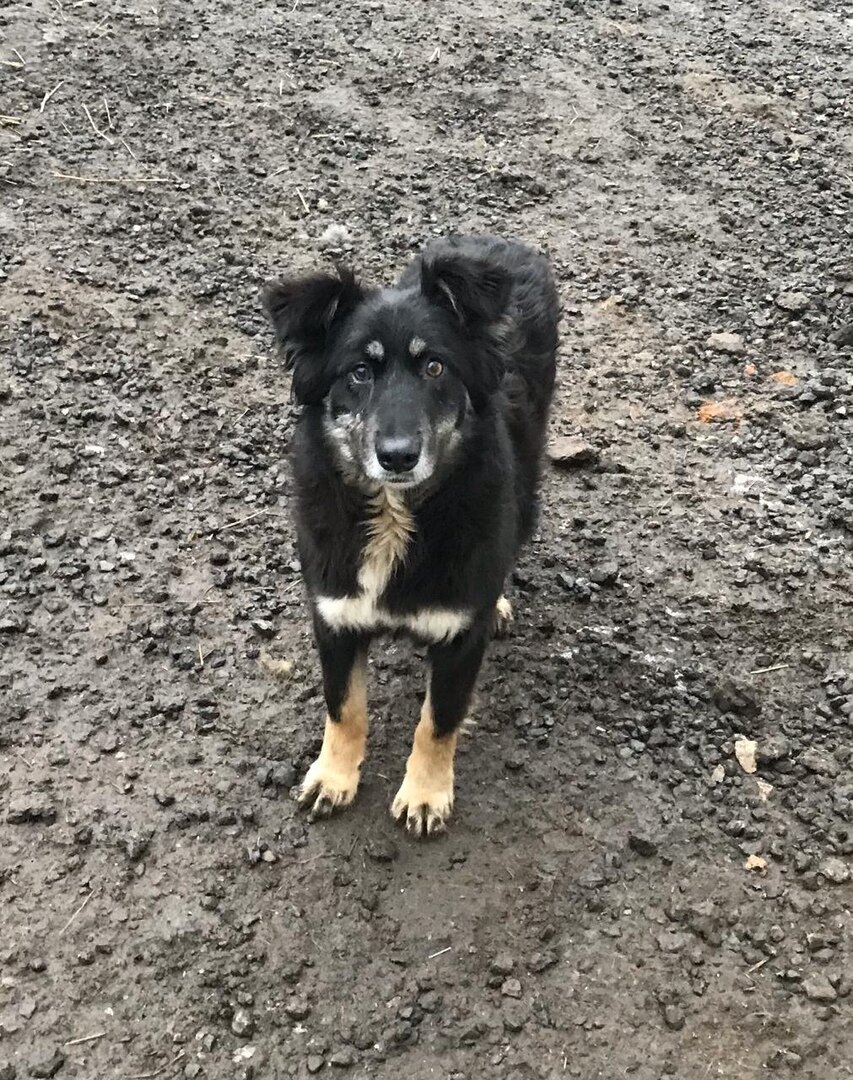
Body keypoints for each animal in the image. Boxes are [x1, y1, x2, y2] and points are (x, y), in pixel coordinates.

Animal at [265, 236, 561, 833]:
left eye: (434, 367)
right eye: (359, 372)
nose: (398, 456)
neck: (395, 515)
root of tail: (501, 242)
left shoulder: (459, 637)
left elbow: (438, 721)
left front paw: (426, 793)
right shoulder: (334, 616)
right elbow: (344, 707)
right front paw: (334, 776)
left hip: (526, 485)